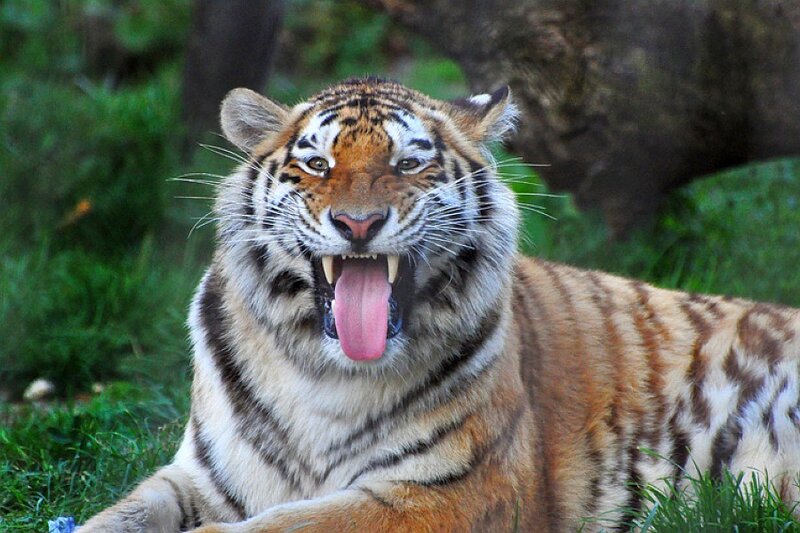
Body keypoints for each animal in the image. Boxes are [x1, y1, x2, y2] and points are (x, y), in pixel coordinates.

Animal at [81, 77, 800, 532]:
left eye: (407, 164)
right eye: (317, 165)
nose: (358, 223)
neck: (319, 369)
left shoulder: (450, 492)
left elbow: (287, 525)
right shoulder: (200, 477)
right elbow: (115, 515)